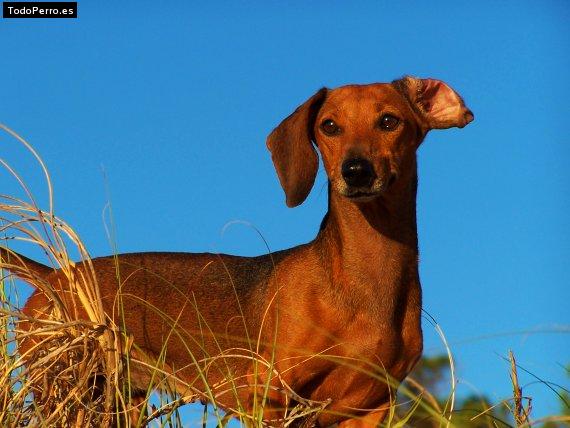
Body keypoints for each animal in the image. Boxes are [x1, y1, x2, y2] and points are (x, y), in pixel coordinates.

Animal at [0, 75, 470, 426]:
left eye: (389, 121)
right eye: (329, 126)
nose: (355, 171)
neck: (360, 278)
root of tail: (55, 276)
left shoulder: (367, 409)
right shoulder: (270, 393)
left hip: (118, 401)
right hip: (65, 392)